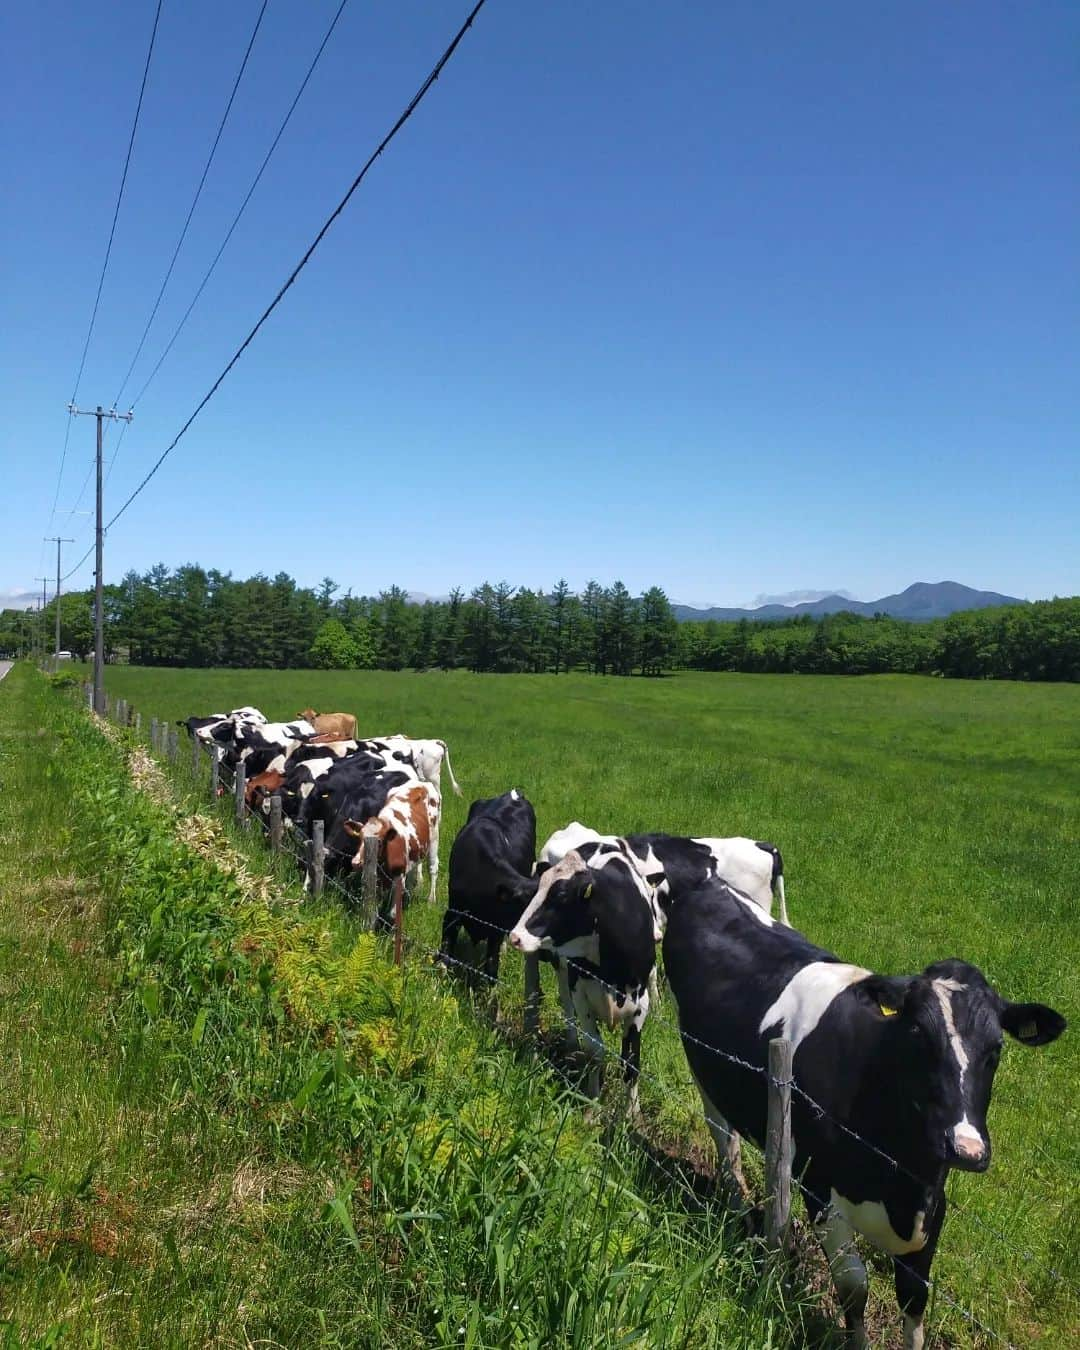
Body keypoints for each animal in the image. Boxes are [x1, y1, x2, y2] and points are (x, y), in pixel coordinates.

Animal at [507, 842, 658, 1117]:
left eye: (560, 896)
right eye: (538, 889)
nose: (515, 936)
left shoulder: (641, 1003)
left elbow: (632, 1060)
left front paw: (631, 1114)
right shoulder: (581, 993)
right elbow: (595, 1050)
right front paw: (592, 1106)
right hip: (550, 967)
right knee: (550, 998)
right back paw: (561, 1042)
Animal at [661, 880, 1069, 1344]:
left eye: (996, 1049)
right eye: (917, 1032)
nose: (966, 1149)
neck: (899, 1178)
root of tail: (709, 885)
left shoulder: (933, 1206)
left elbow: (914, 1297)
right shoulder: (819, 1187)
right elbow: (854, 1284)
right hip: (701, 1065)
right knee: (723, 1136)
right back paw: (740, 1211)